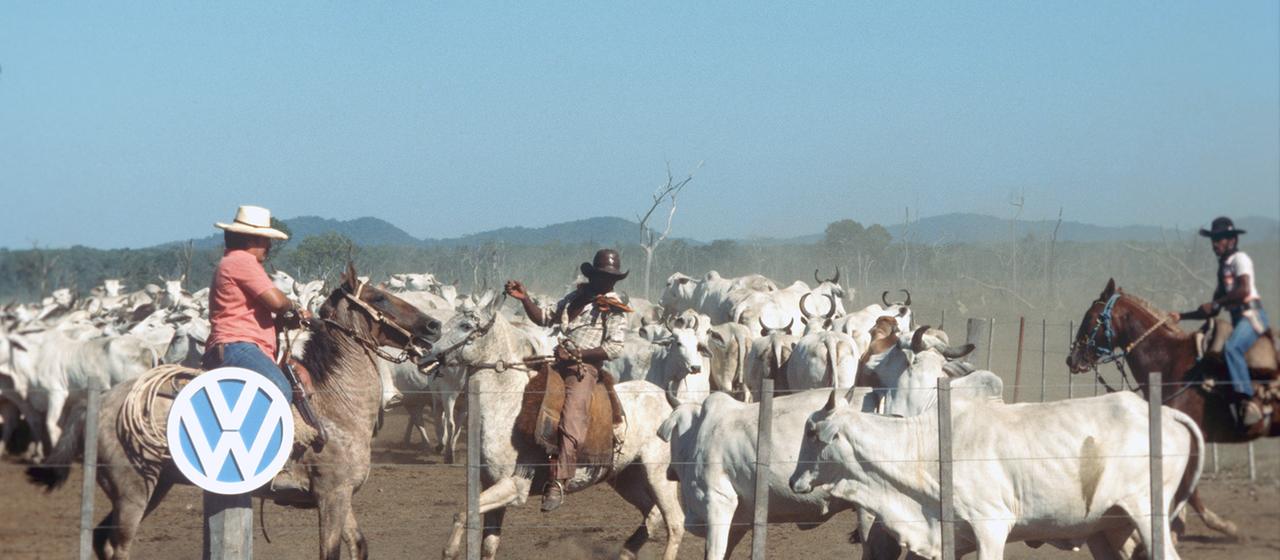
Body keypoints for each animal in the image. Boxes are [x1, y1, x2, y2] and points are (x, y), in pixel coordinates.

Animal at [26, 263, 441, 559]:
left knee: (102, 539)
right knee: (118, 546)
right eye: (380, 298)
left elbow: (359, 546)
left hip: (152, 486)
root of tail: (104, 401)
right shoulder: (331, 495)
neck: (334, 402)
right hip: (134, 490)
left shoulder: (343, 497)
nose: (434, 325)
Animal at [418, 293, 684, 560]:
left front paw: (449, 551)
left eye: (466, 325)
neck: (507, 404)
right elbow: (488, 543)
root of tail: (671, 403)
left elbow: (462, 513)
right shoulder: (492, 486)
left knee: (675, 523)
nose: (425, 356)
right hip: (627, 478)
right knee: (652, 515)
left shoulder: (514, 487)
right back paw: (627, 551)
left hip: (658, 476)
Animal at [1066, 278, 1279, 542]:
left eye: (1092, 317)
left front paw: (1221, 525)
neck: (1170, 362)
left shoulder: (1193, 436)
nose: (1072, 359)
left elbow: (1190, 486)